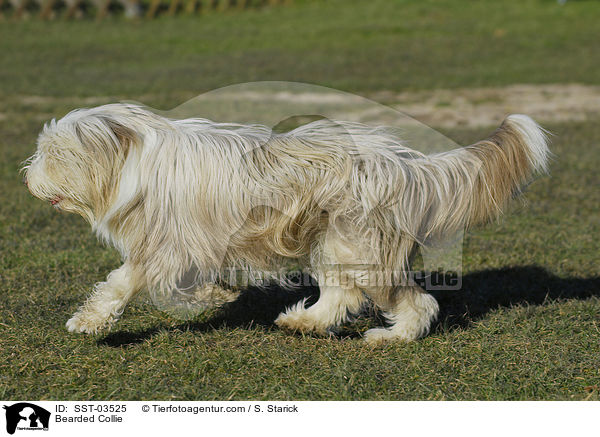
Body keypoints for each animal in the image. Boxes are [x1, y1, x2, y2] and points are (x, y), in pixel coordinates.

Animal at [22, 104, 548, 342]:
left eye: (53, 153)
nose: (26, 176)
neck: (133, 161)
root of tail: (405, 164)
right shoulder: (189, 246)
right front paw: (218, 295)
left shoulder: (166, 245)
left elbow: (122, 282)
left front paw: (87, 321)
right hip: (333, 244)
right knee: (340, 297)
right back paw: (303, 321)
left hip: (359, 246)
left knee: (416, 302)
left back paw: (392, 337)